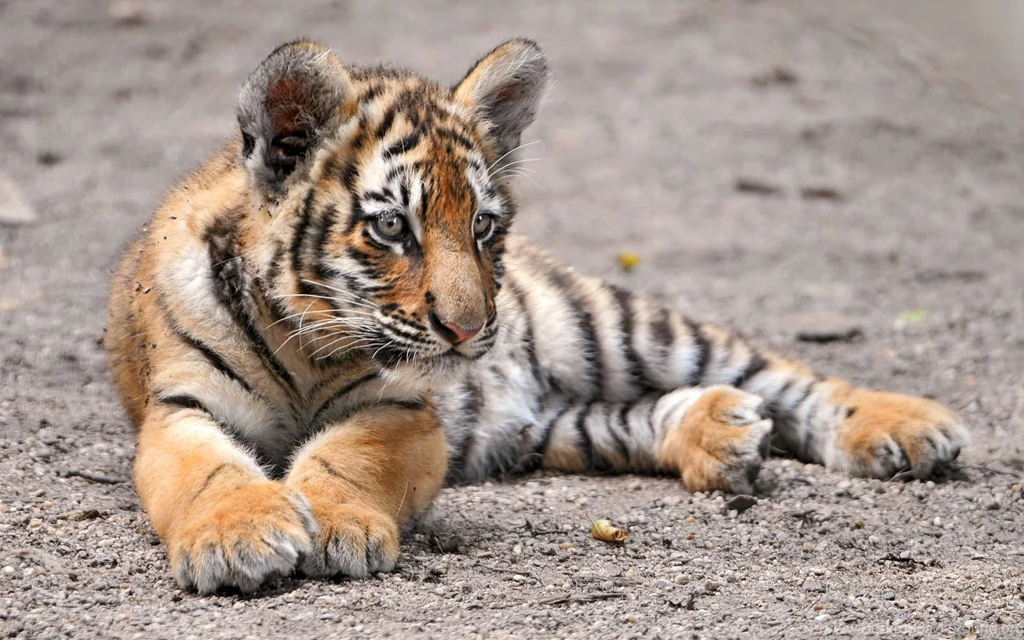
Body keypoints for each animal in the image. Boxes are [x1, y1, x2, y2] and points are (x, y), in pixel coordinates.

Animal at [105, 38, 969, 594]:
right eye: (392, 227)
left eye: (482, 226)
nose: (467, 331)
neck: (303, 342)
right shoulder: (180, 407)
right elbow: (208, 471)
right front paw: (237, 537)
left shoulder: (402, 411)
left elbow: (348, 456)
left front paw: (337, 525)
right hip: (553, 427)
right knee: (640, 417)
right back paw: (722, 435)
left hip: (611, 325)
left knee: (784, 375)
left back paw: (904, 428)